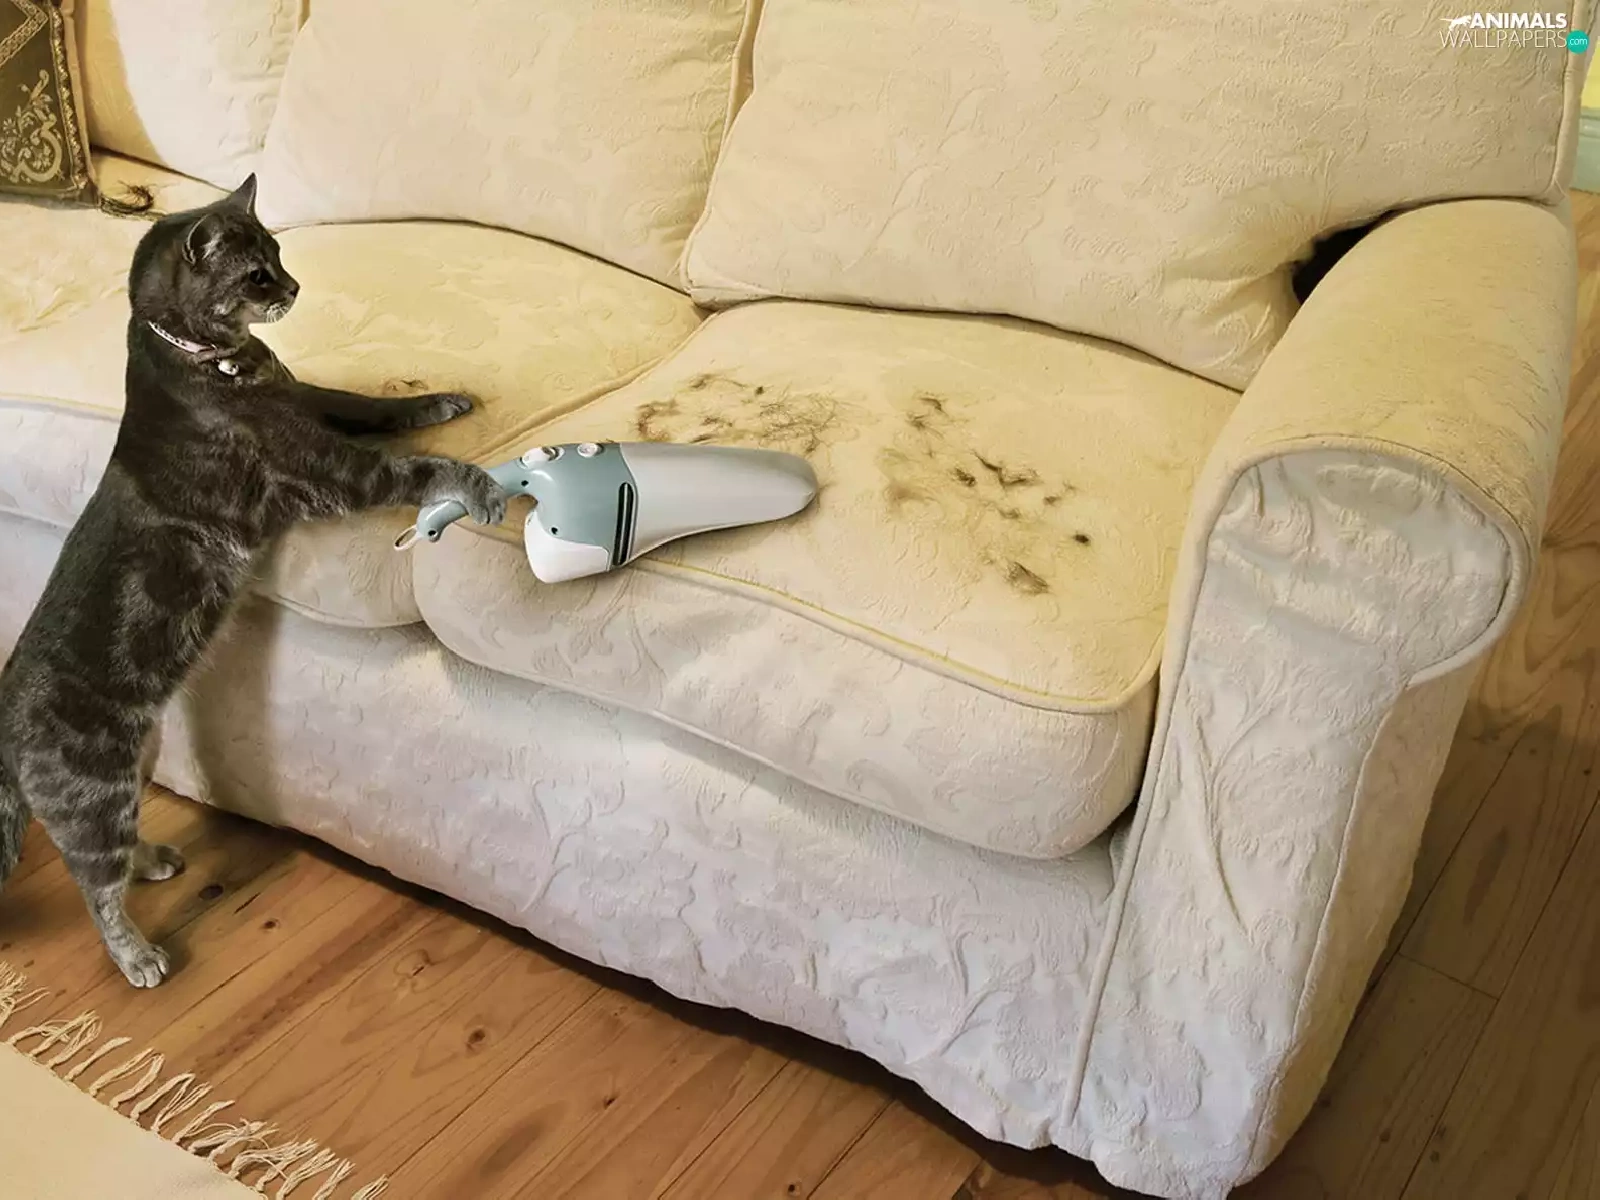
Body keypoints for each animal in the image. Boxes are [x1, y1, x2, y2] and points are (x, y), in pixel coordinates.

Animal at [0, 175, 506, 987]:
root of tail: (5, 731)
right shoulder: (333, 471)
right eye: (258, 274)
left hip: (137, 763)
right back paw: (138, 955)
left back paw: (154, 859)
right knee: (93, 884)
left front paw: (442, 398)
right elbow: (422, 466)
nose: (294, 287)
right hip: (95, 795)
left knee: (117, 856)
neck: (220, 360)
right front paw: (482, 485)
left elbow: (376, 404)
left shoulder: (315, 401)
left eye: (278, 252)